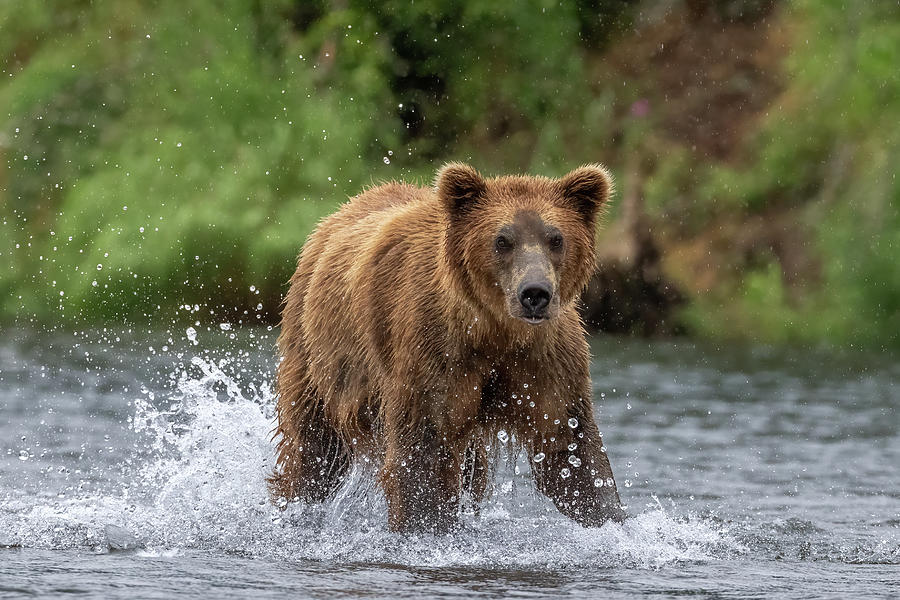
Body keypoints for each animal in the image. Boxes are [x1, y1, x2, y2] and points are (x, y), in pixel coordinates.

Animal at [268, 162, 624, 532]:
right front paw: (425, 524)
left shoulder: (544, 360)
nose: (535, 293)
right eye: (502, 240)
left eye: (556, 238)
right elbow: (423, 453)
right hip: (319, 355)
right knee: (315, 448)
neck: (494, 332)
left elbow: (570, 449)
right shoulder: (434, 352)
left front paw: (610, 518)